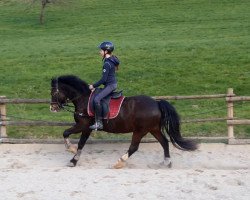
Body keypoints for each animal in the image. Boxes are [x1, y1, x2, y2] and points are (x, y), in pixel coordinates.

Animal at [50, 75, 197, 169]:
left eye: (53, 92)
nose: (52, 108)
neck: (84, 99)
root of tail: (156, 103)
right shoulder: (87, 128)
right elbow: (78, 141)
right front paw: (73, 158)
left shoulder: (84, 125)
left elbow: (68, 134)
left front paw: (71, 151)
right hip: (153, 129)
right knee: (165, 143)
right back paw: (166, 163)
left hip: (140, 131)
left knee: (134, 147)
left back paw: (119, 162)